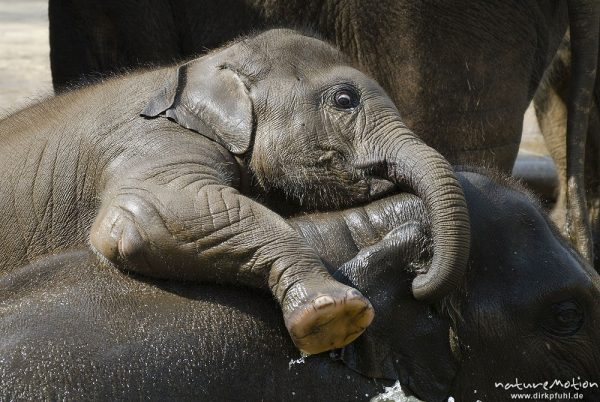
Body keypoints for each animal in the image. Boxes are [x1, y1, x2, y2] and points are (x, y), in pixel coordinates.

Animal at [0, 29, 468, 354]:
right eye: (344, 100)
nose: (419, 278)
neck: (200, 64)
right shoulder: (149, 140)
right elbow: (141, 215)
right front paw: (334, 314)